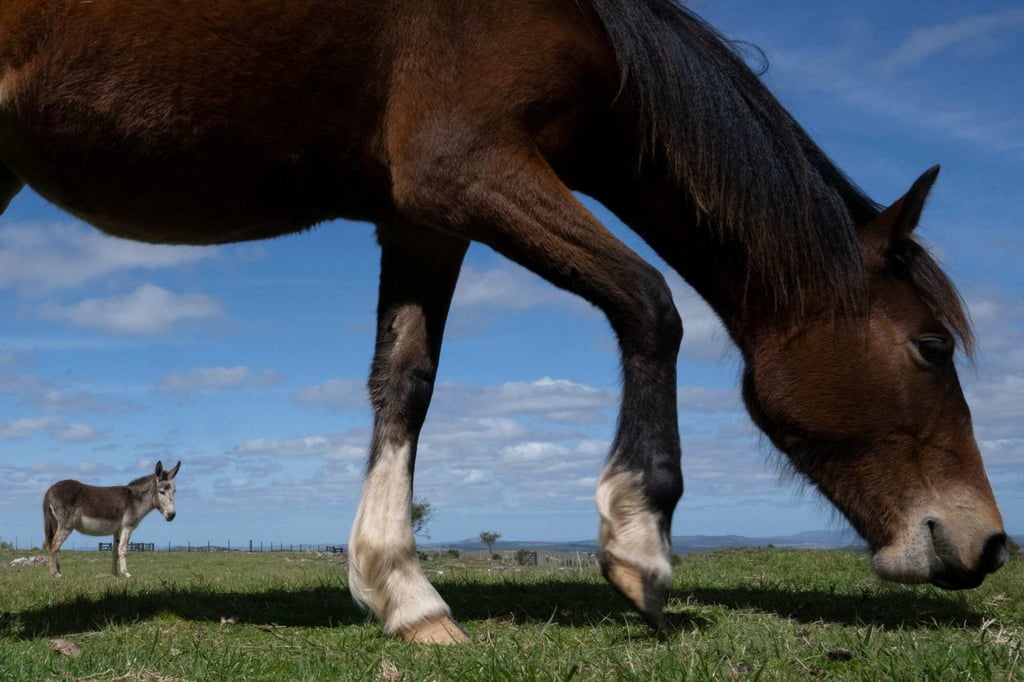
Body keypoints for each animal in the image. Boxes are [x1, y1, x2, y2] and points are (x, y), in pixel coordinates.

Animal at [42, 461, 181, 578]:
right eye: (162, 492)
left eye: (174, 491)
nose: (172, 515)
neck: (134, 500)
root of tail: (49, 490)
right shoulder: (127, 527)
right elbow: (123, 549)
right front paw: (126, 574)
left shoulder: (117, 530)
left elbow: (115, 551)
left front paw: (115, 574)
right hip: (65, 526)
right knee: (53, 546)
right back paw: (55, 574)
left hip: (55, 523)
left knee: (48, 544)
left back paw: (56, 570)